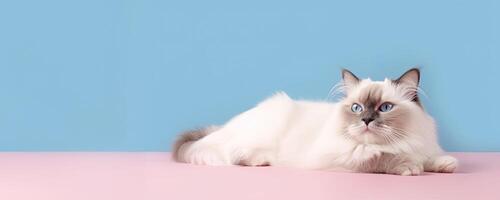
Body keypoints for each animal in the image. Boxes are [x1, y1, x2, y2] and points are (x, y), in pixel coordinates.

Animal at [172, 68, 458, 175]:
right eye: (356, 108)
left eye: (385, 107)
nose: (366, 120)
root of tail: (223, 127)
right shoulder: (341, 158)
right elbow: (378, 159)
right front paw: (408, 166)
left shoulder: (419, 144)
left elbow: (428, 157)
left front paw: (444, 164)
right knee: (235, 154)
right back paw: (263, 161)